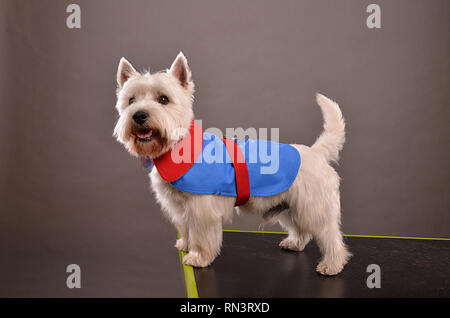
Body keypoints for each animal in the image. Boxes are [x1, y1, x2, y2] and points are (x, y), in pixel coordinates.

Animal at [113, 52, 352, 276]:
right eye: (131, 100)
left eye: (163, 99)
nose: (139, 115)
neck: (175, 147)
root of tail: (316, 152)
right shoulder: (179, 207)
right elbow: (186, 228)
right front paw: (185, 245)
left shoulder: (201, 209)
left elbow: (200, 234)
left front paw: (198, 257)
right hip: (287, 205)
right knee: (302, 229)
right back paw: (295, 243)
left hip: (314, 207)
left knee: (330, 235)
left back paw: (332, 265)